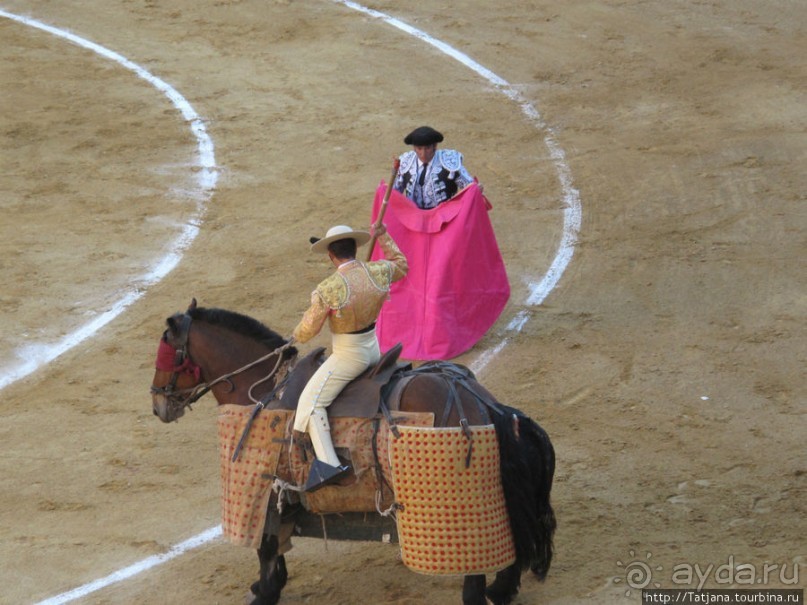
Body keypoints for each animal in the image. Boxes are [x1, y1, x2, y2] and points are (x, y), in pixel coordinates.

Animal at [152, 300, 556, 600]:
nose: (158, 406)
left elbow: (266, 546)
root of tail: (482, 403)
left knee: (473, 566)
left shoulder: (266, 486)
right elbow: (276, 544)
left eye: (167, 354)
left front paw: (264, 593)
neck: (263, 389)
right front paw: (267, 585)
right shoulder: (283, 494)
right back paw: (501, 590)